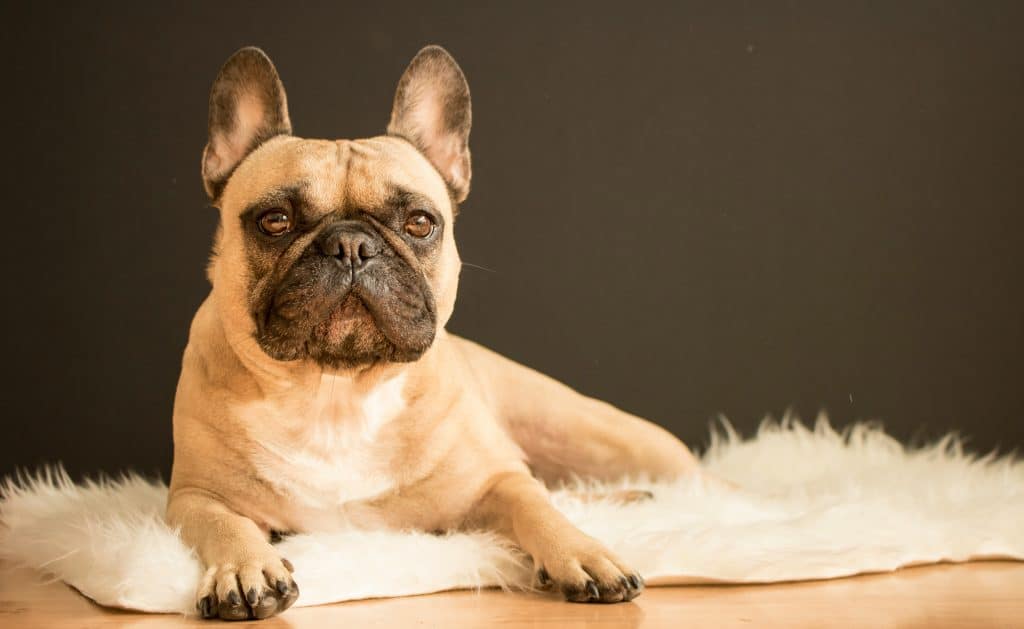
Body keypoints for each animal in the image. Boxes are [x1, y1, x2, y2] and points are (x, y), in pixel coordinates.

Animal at [167, 44, 700, 622]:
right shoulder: (193, 494)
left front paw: (581, 551)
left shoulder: (496, 480)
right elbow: (224, 522)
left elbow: (534, 505)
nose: (351, 245)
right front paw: (246, 568)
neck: (336, 393)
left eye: (420, 223)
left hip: (604, 436)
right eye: (274, 221)